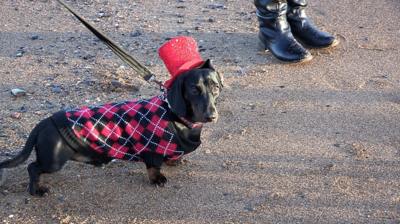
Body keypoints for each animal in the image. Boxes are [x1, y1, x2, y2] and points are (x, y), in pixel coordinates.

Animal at [0, 60, 222, 196]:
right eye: (194, 89)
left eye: (216, 87)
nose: (211, 116)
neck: (174, 113)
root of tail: (44, 122)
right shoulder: (151, 151)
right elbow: (153, 167)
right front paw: (157, 179)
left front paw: (174, 161)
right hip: (53, 160)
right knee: (32, 167)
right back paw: (36, 190)